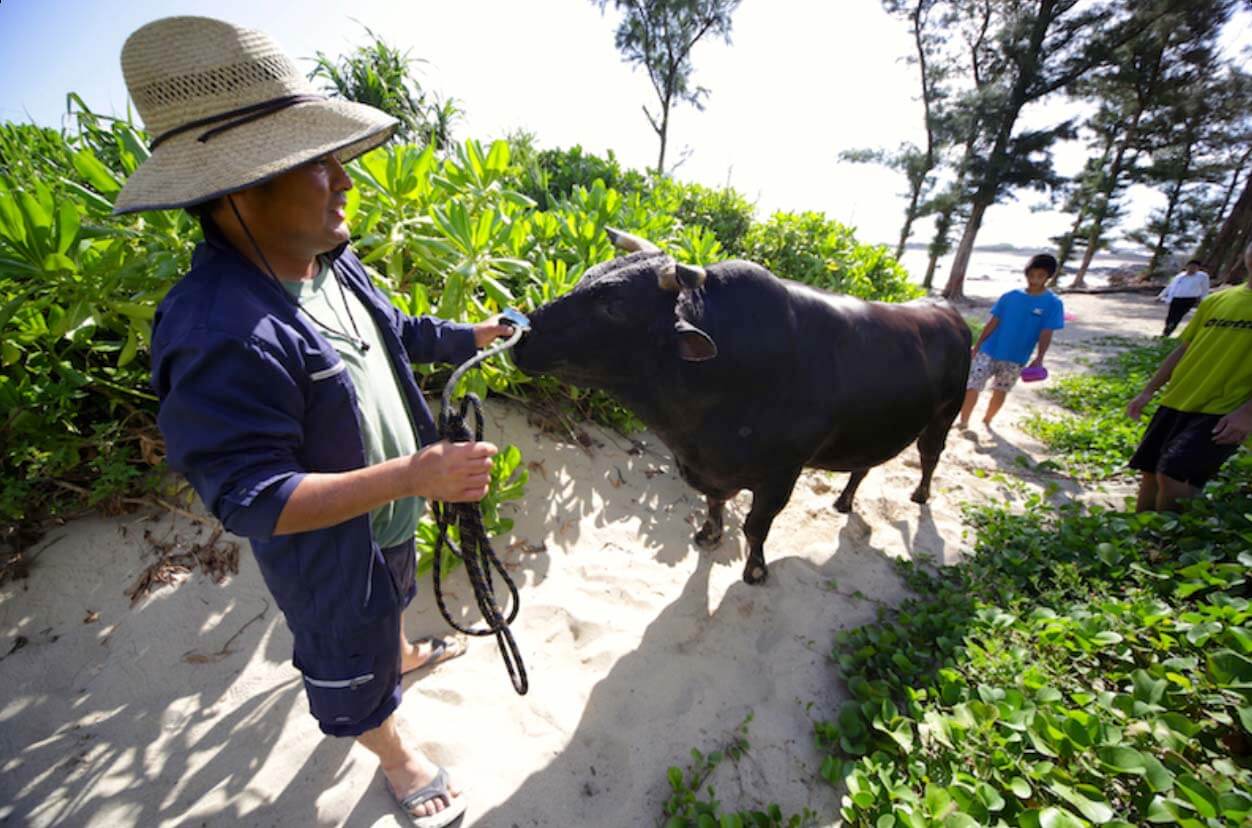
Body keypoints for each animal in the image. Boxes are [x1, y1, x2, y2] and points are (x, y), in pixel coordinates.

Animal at [508, 234, 966, 581]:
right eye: (586, 276)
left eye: (613, 305)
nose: (520, 332)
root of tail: (945, 310)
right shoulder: (708, 469)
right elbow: (714, 505)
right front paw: (708, 536)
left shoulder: (782, 474)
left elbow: (756, 525)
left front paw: (756, 570)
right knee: (863, 465)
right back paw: (843, 502)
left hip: (945, 415)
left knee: (930, 456)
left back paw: (920, 495)